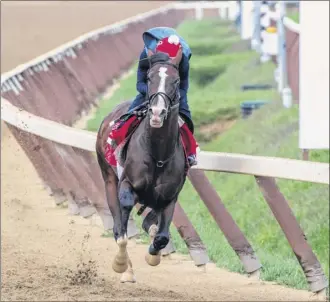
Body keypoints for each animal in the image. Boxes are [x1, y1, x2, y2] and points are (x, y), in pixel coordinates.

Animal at [96, 48, 187, 282]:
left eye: (176, 80)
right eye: (149, 78)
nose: (156, 112)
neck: (158, 154)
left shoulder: (169, 197)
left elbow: (162, 236)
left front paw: (153, 254)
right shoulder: (127, 184)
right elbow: (122, 227)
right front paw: (121, 263)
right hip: (109, 179)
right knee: (118, 226)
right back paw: (125, 268)